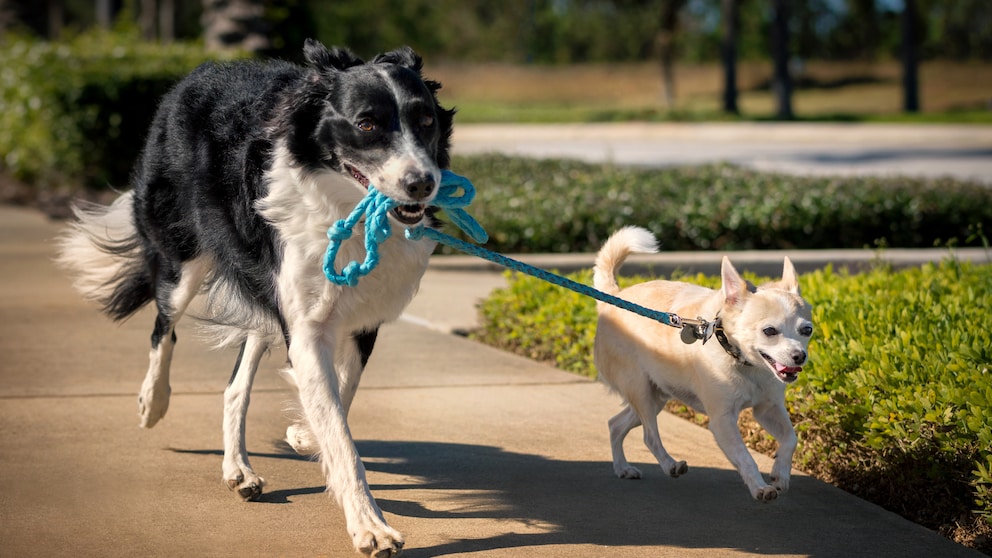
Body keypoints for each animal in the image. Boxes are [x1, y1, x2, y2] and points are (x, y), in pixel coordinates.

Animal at [58, 40, 454, 558]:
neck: (343, 203)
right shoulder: (303, 324)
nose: (422, 183)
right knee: (164, 326)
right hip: (184, 257)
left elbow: (341, 395)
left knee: (234, 385)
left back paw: (237, 469)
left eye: (425, 120)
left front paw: (305, 434)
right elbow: (340, 436)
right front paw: (370, 526)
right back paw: (154, 402)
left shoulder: (362, 314)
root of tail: (197, 73)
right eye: (367, 124)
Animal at [592, 228, 808, 504]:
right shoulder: (722, 421)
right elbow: (746, 458)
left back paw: (622, 468)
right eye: (769, 331)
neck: (745, 364)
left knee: (615, 424)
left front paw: (780, 473)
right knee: (650, 436)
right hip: (639, 390)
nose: (799, 356)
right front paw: (760, 488)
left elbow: (791, 439)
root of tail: (614, 296)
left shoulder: (767, 409)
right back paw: (670, 464)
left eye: (807, 330)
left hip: (655, 396)